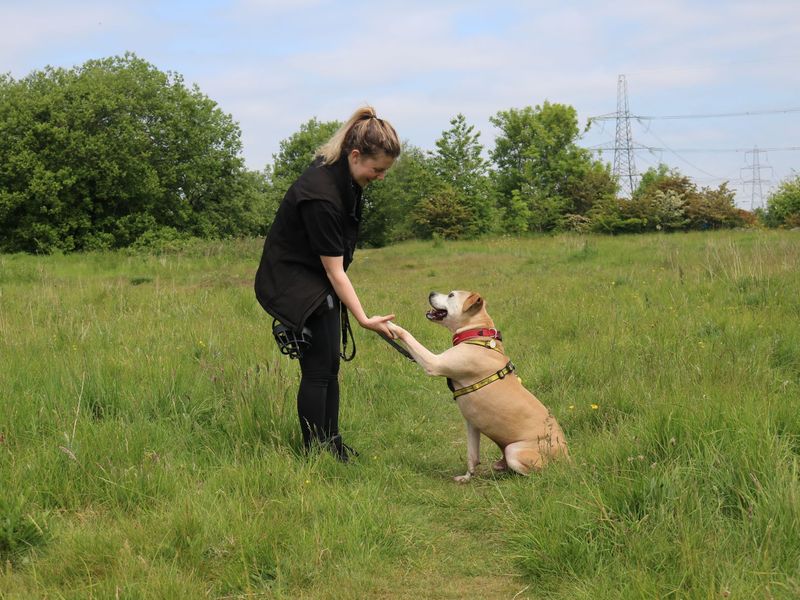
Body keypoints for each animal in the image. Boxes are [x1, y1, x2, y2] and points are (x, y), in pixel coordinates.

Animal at [390, 290, 568, 482]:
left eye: (451, 295)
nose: (431, 292)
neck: (477, 334)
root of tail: (566, 457)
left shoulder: (433, 363)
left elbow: (407, 335)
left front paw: (389, 325)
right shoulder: (472, 423)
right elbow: (472, 455)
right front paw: (467, 477)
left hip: (514, 450)